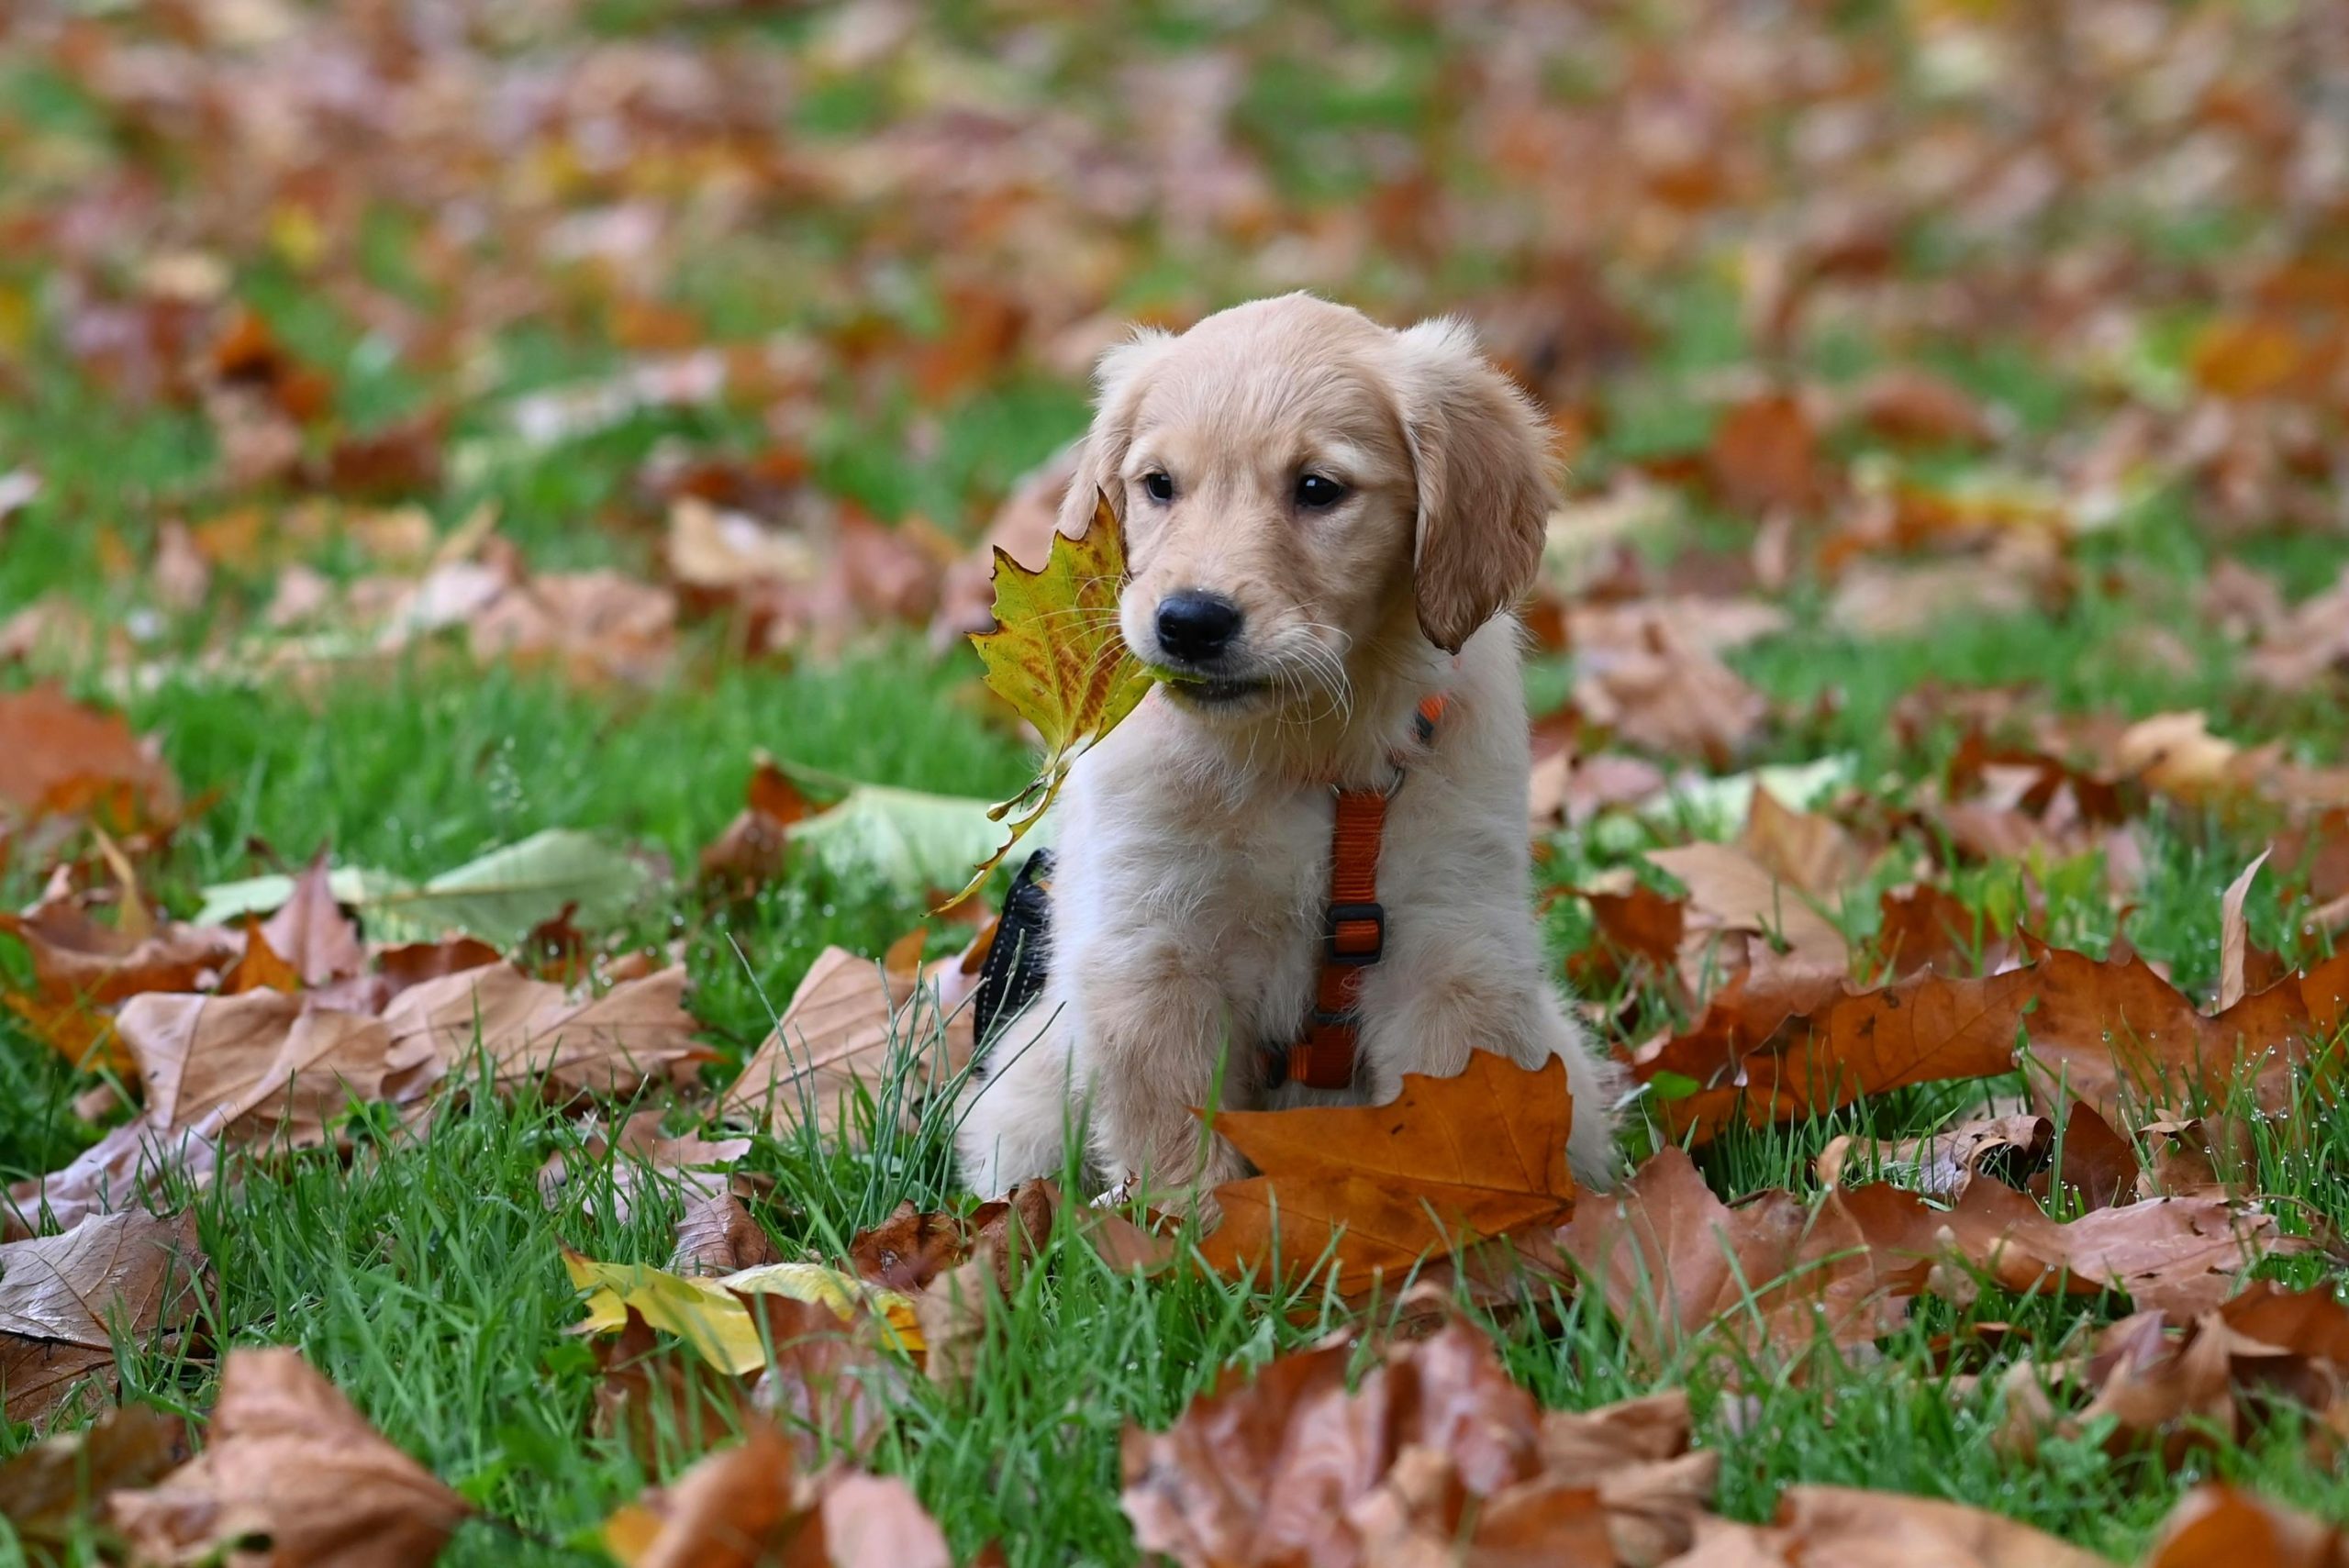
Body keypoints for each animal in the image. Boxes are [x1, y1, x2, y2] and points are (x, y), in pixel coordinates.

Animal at [949, 293, 1616, 1201]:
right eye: (1159, 486)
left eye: (1317, 489)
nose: (1190, 622)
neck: (1302, 750)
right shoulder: (1150, 949)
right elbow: (1173, 1133)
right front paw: (1177, 1228)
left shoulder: (1453, 944)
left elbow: (1461, 1113)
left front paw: (1483, 1219)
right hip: (1022, 1100)